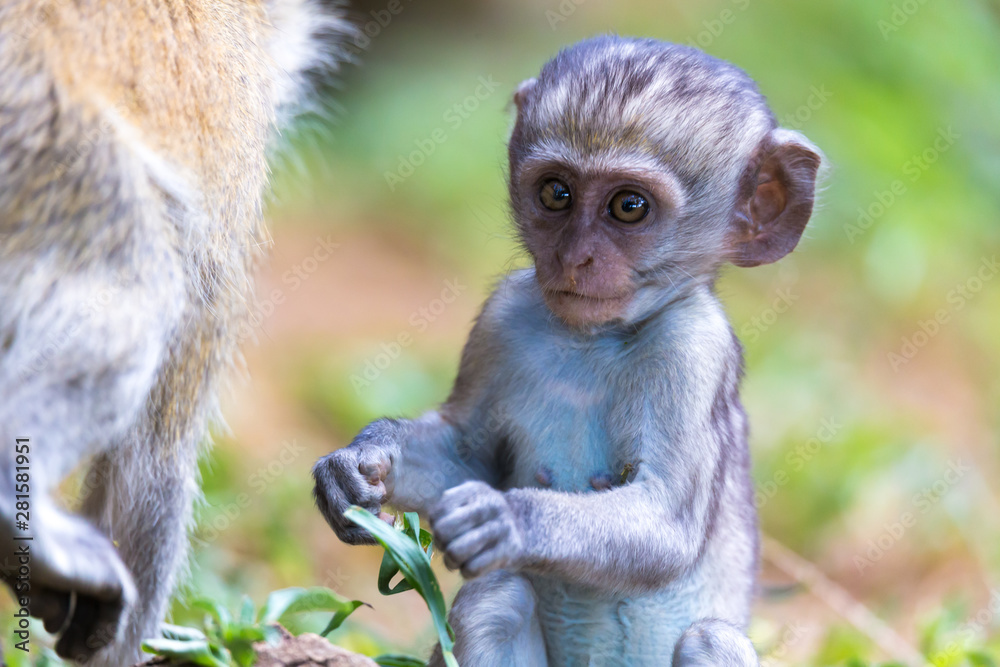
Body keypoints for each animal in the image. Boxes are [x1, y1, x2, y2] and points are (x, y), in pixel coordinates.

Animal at [313, 35, 822, 666]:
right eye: (557, 193)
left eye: (629, 206)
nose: (573, 258)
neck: (593, 341)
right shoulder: (502, 317)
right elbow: (466, 453)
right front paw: (358, 462)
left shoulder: (694, 348)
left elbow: (666, 525)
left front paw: (508, 519)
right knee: (495, 597)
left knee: (711, 639)